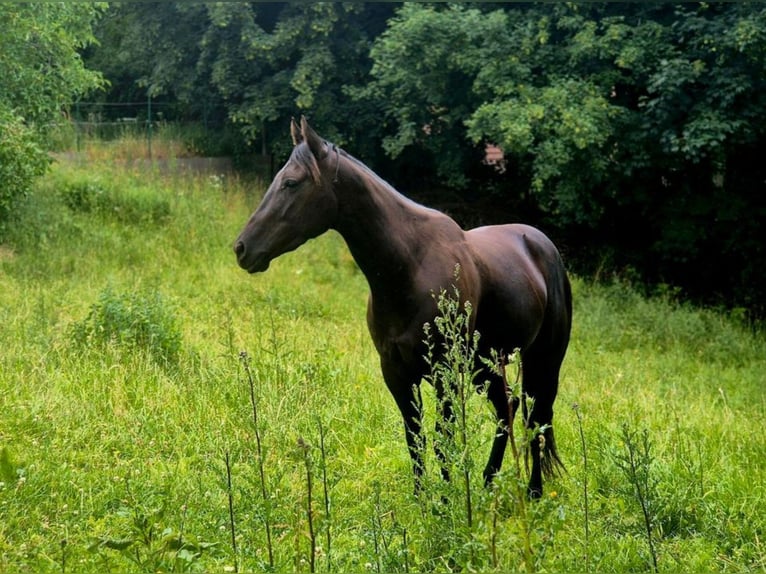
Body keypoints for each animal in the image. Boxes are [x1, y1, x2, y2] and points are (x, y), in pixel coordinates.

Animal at [234, 117, 572, 498]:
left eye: (291, 182)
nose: (242, 248)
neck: (411, 266)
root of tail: (542, 244)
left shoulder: (444, 375)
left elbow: (442, 441)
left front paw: (445, 502)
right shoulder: (396, 372)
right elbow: (415, 439)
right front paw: (424, 499)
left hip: (543, 360)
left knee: (537, 419)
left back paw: (534, 491)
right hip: (485, 365)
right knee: (508, 410)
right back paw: (488, 481)